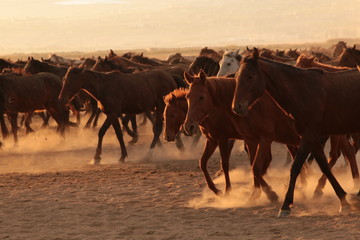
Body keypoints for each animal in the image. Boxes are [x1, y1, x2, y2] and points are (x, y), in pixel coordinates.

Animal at [183, 71, 300, 201]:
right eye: (187, 97)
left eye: (201, 97)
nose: (189, 126)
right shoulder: (212, 140)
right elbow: (203, 162)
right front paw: (216, 190)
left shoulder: (223, 138)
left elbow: (225, 163)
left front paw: (228, 190)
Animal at [231, 47, 360, 217]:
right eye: (237, 76)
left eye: (250, 76)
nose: (236, 107)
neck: (300, 91)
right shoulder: (311, 137)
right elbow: (324, 167)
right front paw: (343, 200)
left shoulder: (309, 136)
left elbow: (296, 166)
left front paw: (285, 205)